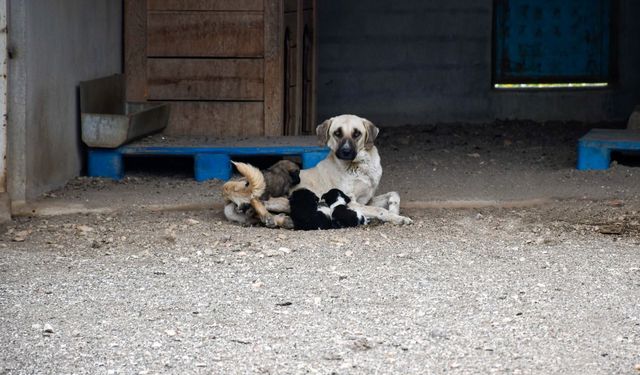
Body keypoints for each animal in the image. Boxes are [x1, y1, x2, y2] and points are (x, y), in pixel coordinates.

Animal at [262, 114, 412, 225]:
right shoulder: (352, 202)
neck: (360, 166)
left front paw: (394, 211)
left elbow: (394, 194)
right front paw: (397, 218)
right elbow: (379, 209)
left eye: (357, 133)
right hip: (278, 202)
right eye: (337, 133)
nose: (346, 151)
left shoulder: (366, 199)